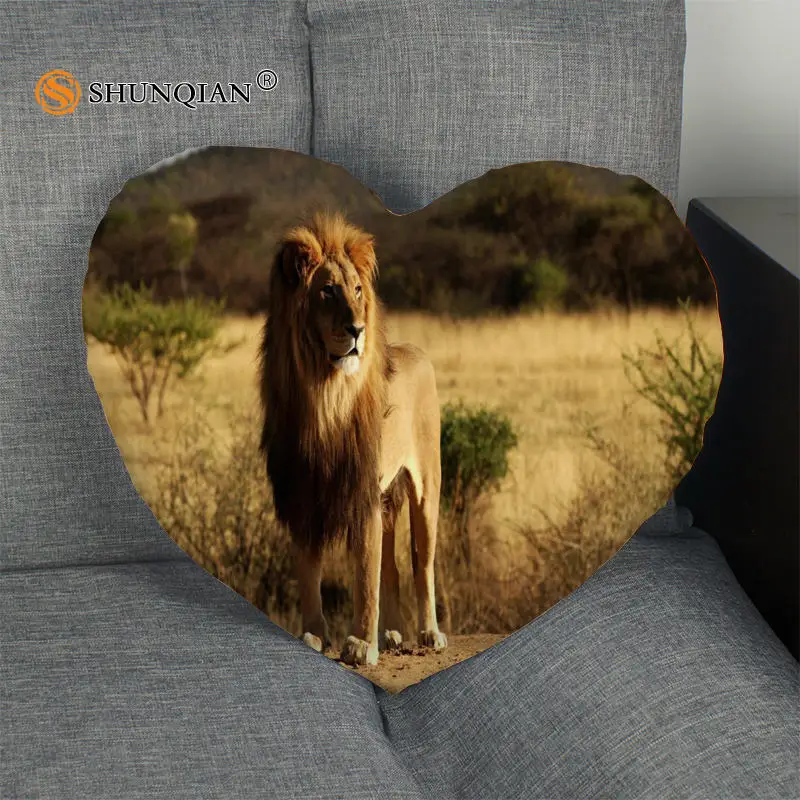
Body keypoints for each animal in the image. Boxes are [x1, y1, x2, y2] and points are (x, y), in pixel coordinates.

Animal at [259, 210, 448, 667]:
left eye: (358, 290)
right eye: (327, 290)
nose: (358, 329)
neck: (323, 397)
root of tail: (418, 351)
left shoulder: (362, 492)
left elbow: (364, 574)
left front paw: (362, 644)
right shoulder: (301, 494)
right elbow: (310, 571)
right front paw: (313, 634)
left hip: (426, 487)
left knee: (422, 564)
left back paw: (428, 633)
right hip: (387, 499)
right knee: (391, 567)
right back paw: (393, 633)